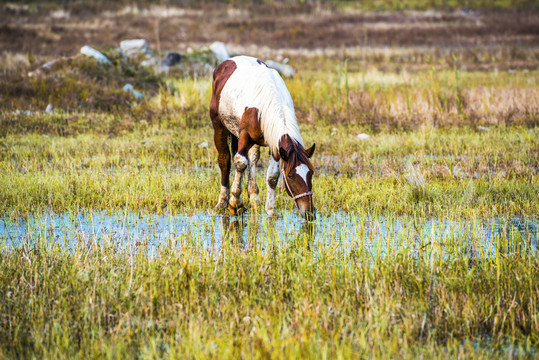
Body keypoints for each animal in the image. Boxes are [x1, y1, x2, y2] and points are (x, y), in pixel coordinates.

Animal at [208, 55, 316, 219]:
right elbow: (240, 163)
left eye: (310, 173)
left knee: (252, 160)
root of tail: (226, 62)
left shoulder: (276, 145)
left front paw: (270, 210)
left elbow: (272, 176)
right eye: (290, 176)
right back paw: (222, 202)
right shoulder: (244, 136)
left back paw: (254, 199)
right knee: (225, 161)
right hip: (219, 127)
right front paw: (234, 204)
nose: (309, 212)